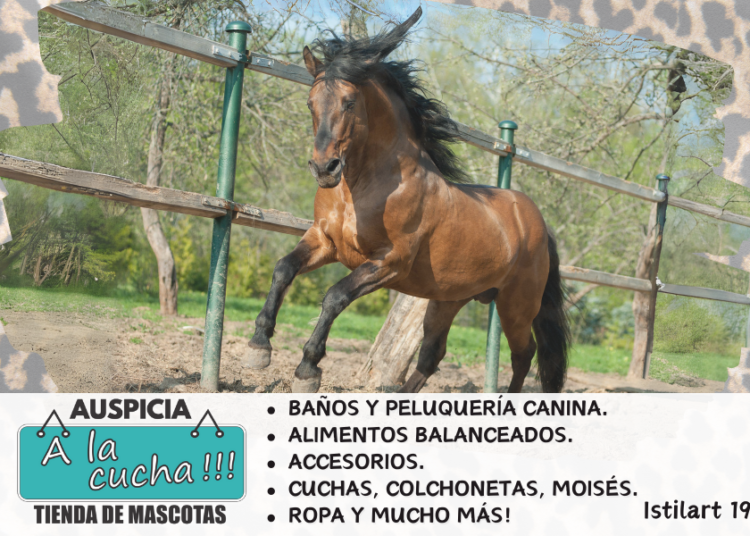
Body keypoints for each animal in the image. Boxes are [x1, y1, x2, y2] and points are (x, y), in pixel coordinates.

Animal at [245, 7, 570, 394]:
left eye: (349, 102)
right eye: (310, 103)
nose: (324, 168)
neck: (362, 189)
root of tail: (539, 223)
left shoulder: (390, 261)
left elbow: (335, 296)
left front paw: (308, 369)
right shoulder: (324, 241)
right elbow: (283, 269)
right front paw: (259, 347)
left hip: (516, 306)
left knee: (524, 355)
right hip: (449, 300)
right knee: (432, 354)